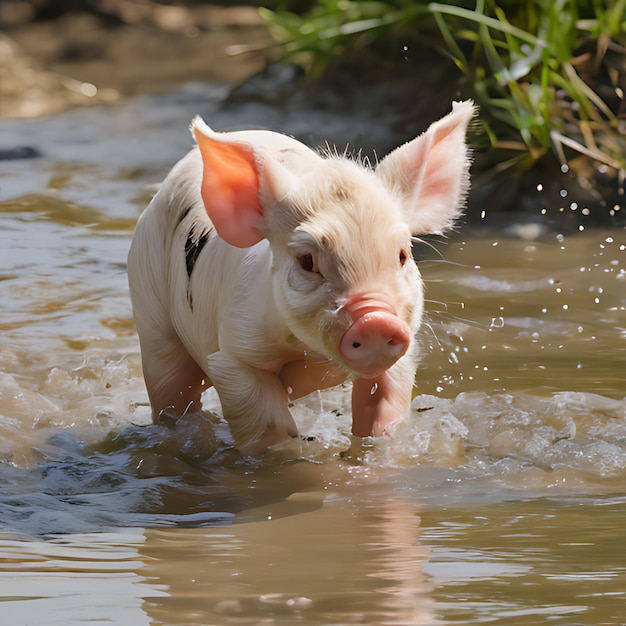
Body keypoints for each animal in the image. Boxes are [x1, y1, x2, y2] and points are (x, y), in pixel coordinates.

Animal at [128, 101, 472, 454]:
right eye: (307, 261)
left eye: (402, 255)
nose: (376, 319)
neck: (313, 357)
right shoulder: (236, 355)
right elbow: (269, 427)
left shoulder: (402, 355)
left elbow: (383, 411)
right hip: (150, 313)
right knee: (170, 390)